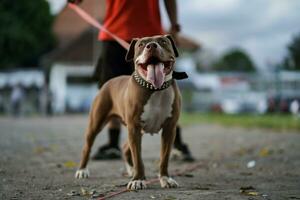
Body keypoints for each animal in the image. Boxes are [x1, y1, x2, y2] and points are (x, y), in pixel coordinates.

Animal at [75, 35, 183, 190]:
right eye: (141, 44)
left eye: (163, 41)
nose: (151, 46)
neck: (155, 89)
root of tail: (109, 81)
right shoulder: (134, 128)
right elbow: (137, 157)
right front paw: (138, 180)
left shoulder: (169, 129)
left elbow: (164, 157)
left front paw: (165, 179)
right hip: (96, 123)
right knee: (87, 147)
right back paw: (82, 170)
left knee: (126, 147)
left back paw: (131, 169)